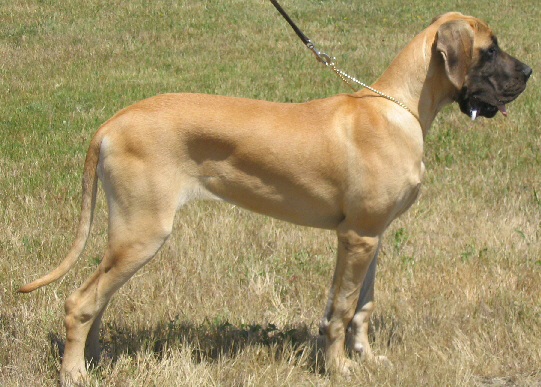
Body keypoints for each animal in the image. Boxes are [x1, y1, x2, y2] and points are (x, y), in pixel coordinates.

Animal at [19, 11, 528, 384]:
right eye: (491, 49)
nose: (527, 71)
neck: (397, 108)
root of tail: (111, 123)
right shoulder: (357, 236)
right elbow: (342, 309)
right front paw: (339, 367)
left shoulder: (373, 235)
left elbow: (362, 306)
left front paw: (366, 359)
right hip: (142, 231)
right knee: (79, 302)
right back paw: (74, 373)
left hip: (126, 235)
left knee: (97, 299)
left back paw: (95, 359)